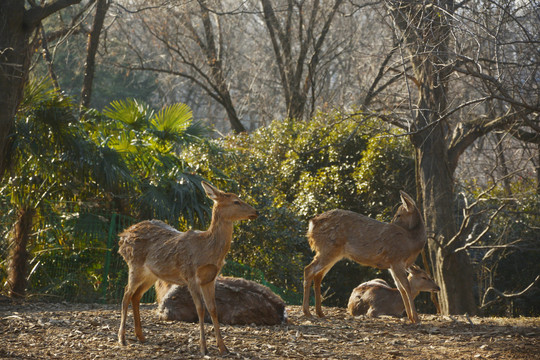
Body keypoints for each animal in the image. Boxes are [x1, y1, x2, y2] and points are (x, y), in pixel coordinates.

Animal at [116, 181, 260, 356]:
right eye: (236, 201)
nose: (256, 212)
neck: (207, 250)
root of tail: (123, 236)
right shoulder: (190, 275)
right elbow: (200, 309)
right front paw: (203, 348)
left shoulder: (210, 278)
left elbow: (213, 309)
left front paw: (223, 347)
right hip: (134, 265)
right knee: (126, 294)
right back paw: (122, 338)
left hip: (151, 274)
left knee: (135, 296)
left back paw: (141, 336)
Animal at [304, 191, 426, 324]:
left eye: (399, 215)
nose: (392, 223)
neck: (412, 243)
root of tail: (311, 224)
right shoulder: (396, 260)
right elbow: (406, 287)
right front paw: (416, 318)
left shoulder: (392, 265)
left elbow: (401, 288)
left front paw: (410, 317)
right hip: (328, 248)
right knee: (308, 269)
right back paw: (307, 312)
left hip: (333, 253)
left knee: (318, 275)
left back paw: (320, 313)